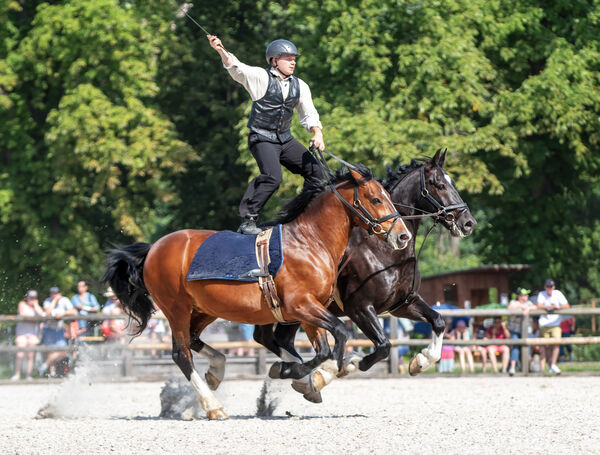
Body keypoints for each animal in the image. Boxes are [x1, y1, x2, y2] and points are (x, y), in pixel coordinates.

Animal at [104, 165, 412, 420]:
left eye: (388, 196)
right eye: (376, 199)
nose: (403, 236)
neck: (310, 242)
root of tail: (154, 248)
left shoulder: (311, 311)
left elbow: (324, 348)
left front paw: (296, 373)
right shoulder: (303, 306)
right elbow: (339, 337)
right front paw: (294, 371)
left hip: (205, 309)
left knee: (194, 340)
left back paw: (216, 372)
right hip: (176, 309)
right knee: (181, 354)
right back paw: (213, 406)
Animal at [255, 150, 476, 400]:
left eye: (453, 183)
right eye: (439, 185)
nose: (469, 223)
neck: (384, 250)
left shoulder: (402, 304)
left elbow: (438, 321)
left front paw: (420, 361)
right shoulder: (359, 308)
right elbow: (383, 346)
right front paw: (349, 364)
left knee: (275, 339)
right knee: (272, 338)